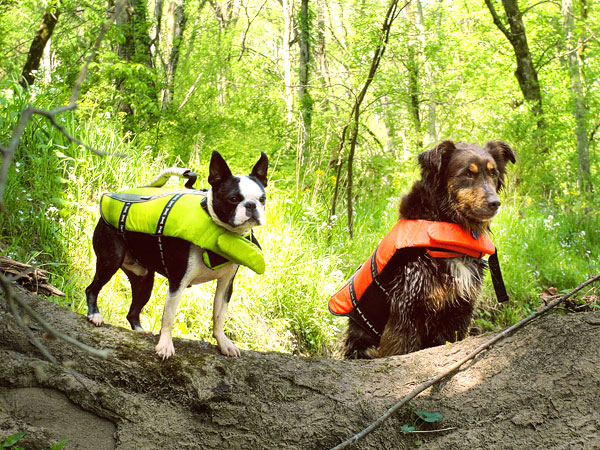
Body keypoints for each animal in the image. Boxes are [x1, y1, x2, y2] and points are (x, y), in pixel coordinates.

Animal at [84, 151, 268, 358]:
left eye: (263, 199)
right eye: (234, 199)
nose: (251, 205)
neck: (221, 232)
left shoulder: (226, 285)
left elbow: (219, 316)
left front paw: (223, 343)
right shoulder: (178, 282)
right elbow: (169, 317)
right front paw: (165, 345)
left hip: (144, 279)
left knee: (133, 311)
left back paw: (140, 331)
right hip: (110, 261)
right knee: (92, 288)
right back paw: (94, 314)